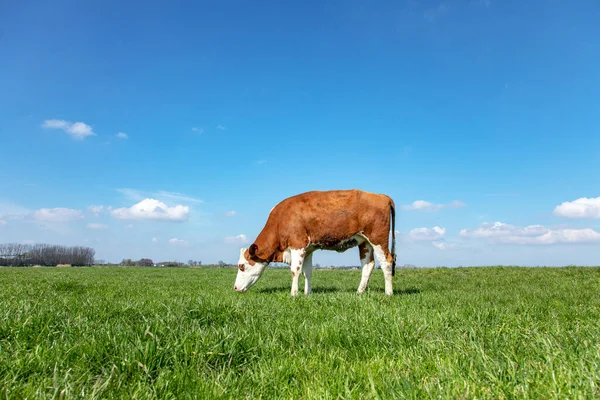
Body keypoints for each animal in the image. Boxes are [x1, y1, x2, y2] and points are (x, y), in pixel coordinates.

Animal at [234, 189, 398, 296]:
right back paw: (359, 292)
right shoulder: (308, 249)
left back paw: (388, 293)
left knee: (387, 261)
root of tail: (382, 196)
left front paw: (294, 294)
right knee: (368, 265)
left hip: (378, 239)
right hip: (364, 242)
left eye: (241, 266)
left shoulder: (297, 244)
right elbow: (307, 272)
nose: (234, 288)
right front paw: (308, 294)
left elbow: (295, 270)